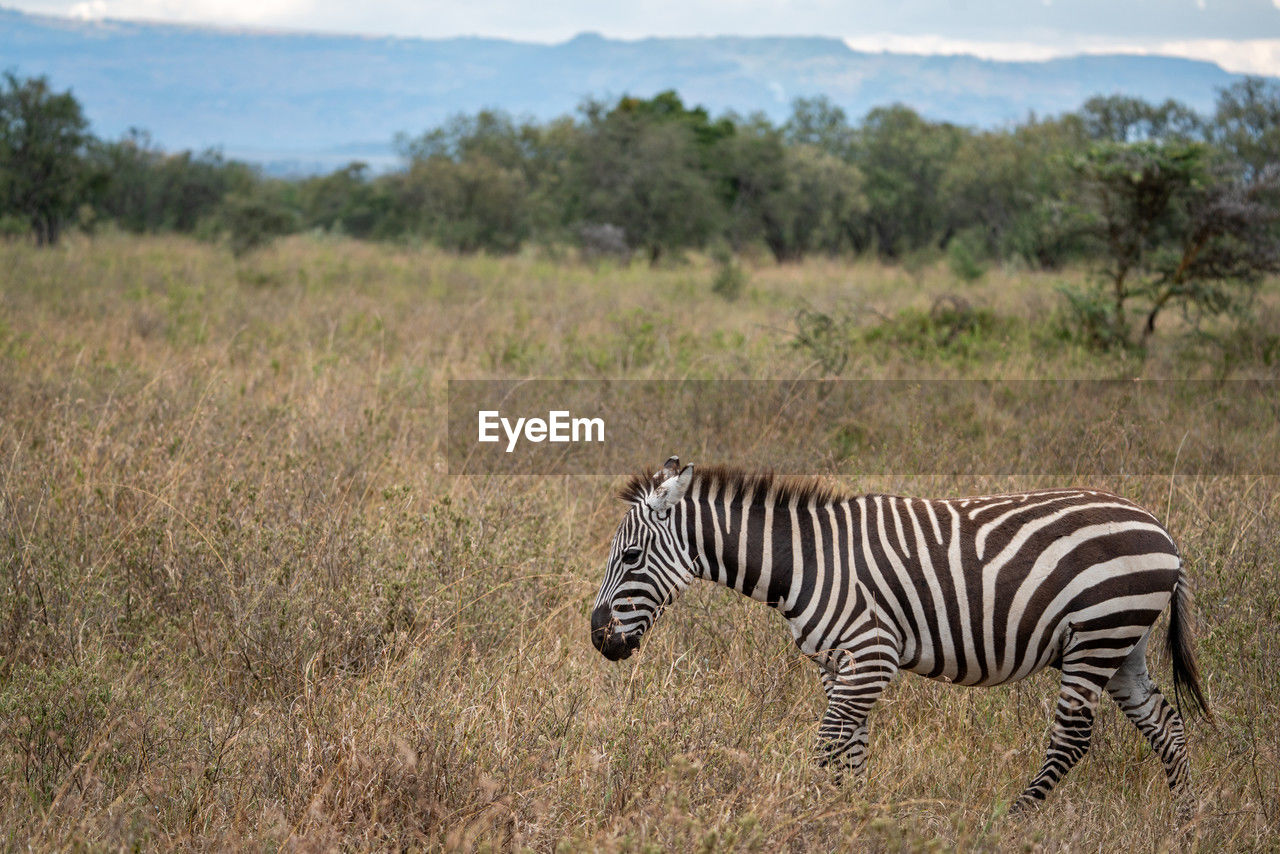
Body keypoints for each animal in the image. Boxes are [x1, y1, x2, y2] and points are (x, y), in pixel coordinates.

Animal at [588, 458, 1208, 819]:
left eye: (631, 556)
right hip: (1122, 644)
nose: (598, 638)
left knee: (1073, 737)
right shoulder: (838, 662)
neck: (808, 563)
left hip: (1098, 633)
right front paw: (852, 817)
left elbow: (827, 745)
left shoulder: (871, 654)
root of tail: (1161, 529)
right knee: (1166, 724)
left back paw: (1012, 820)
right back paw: (1185, 823)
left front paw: (807, 815)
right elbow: (850, 747)